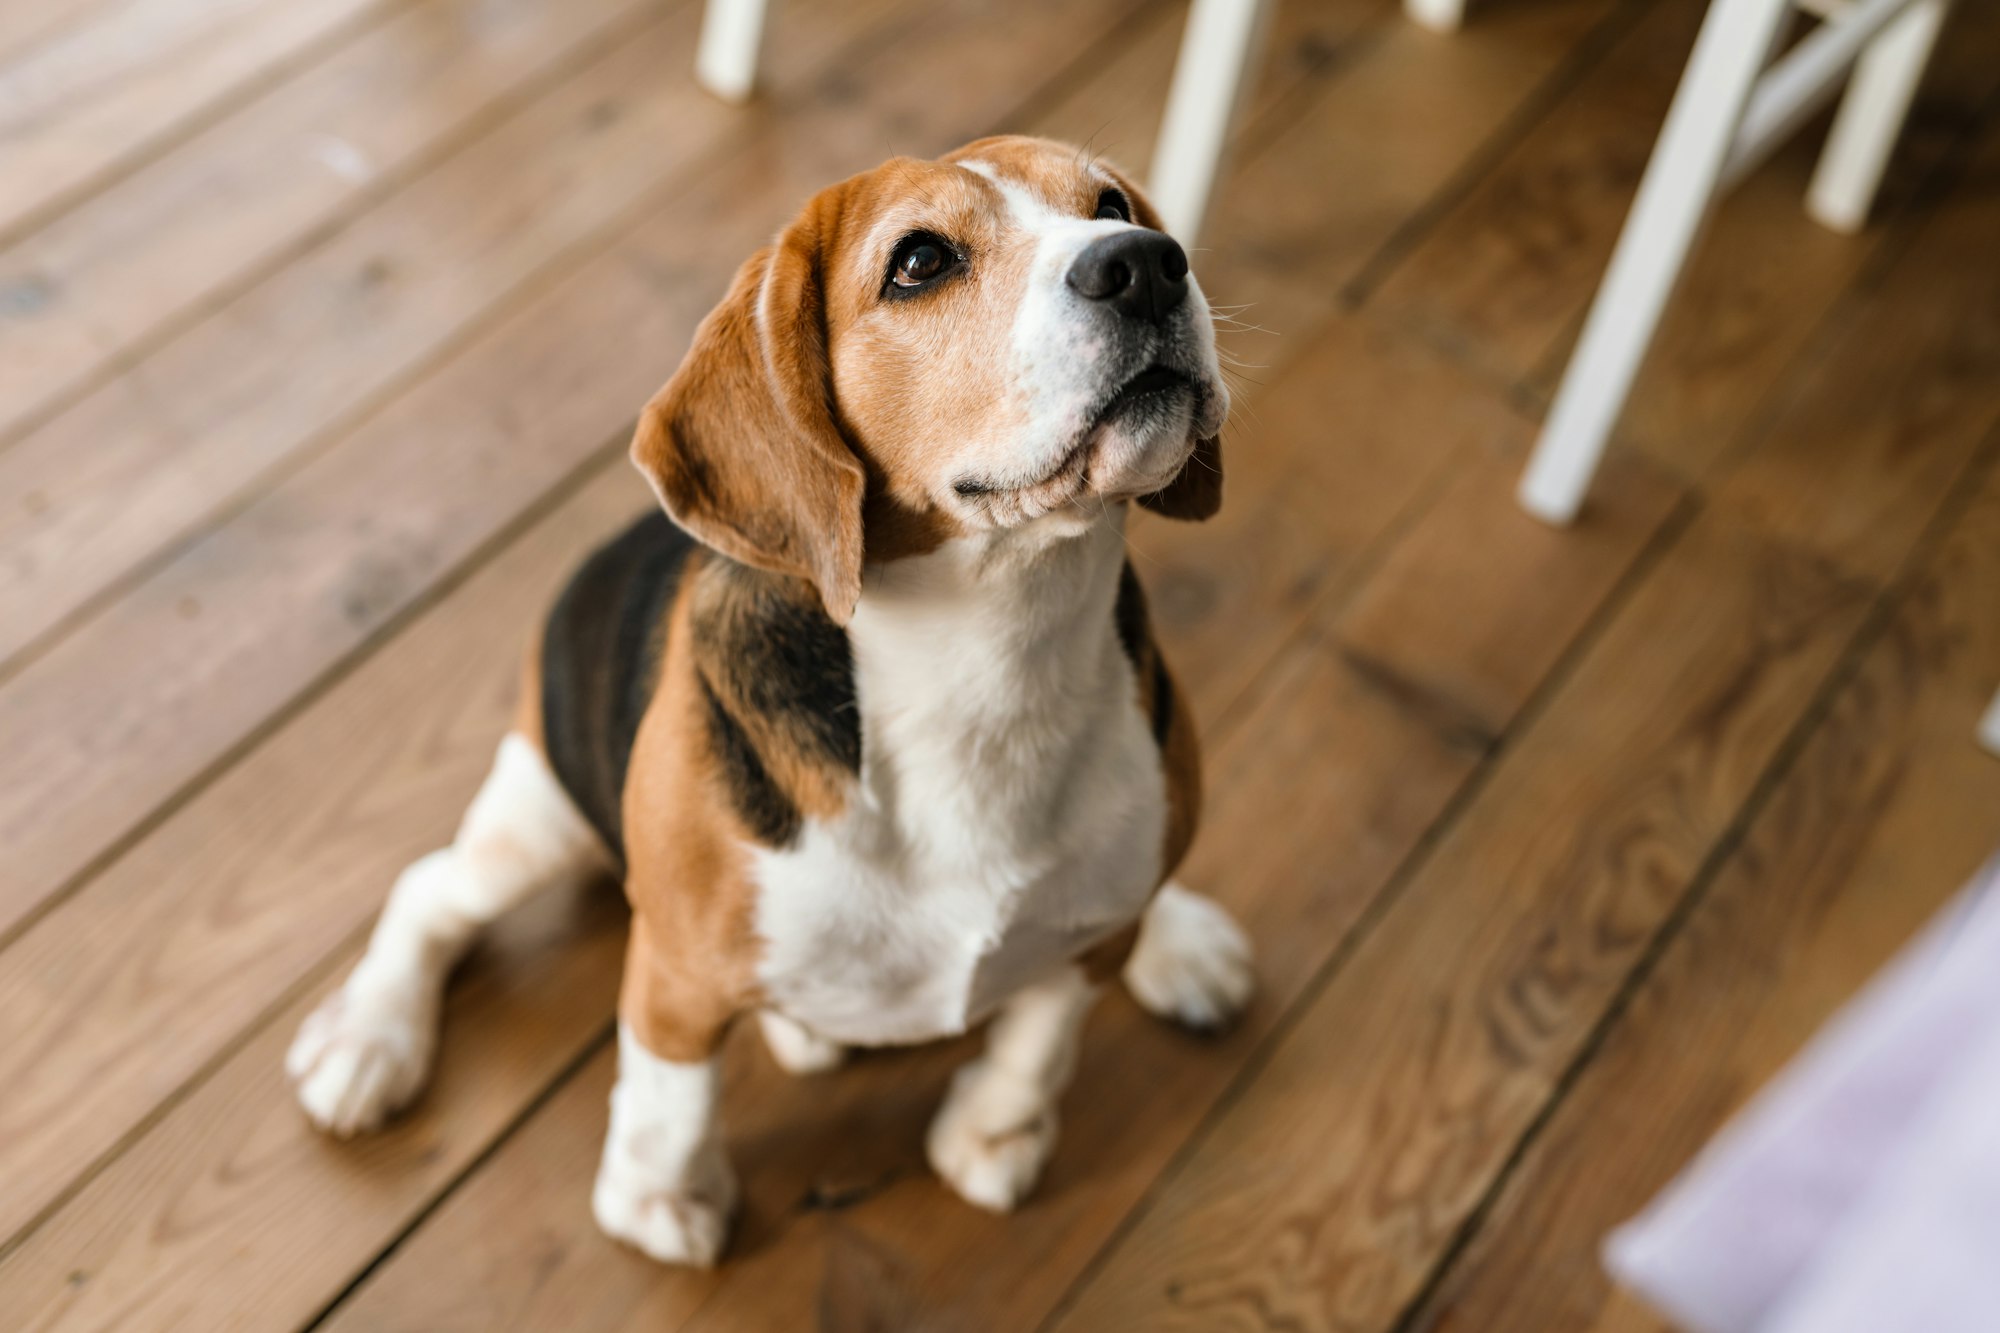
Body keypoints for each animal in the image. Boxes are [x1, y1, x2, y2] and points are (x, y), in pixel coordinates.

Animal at [286, 137, 1248, 1264]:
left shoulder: (1089, 943)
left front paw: (993, 1134)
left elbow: (1039, 1041)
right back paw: (368, 1039)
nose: (1146, 263)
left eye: (1108, 204)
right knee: (429, 890)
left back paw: (1178, 939)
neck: (995, 659)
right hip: (538, 820)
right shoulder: (678, 971)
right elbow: (669, 1098)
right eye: (919, 262)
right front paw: (660, 1201)